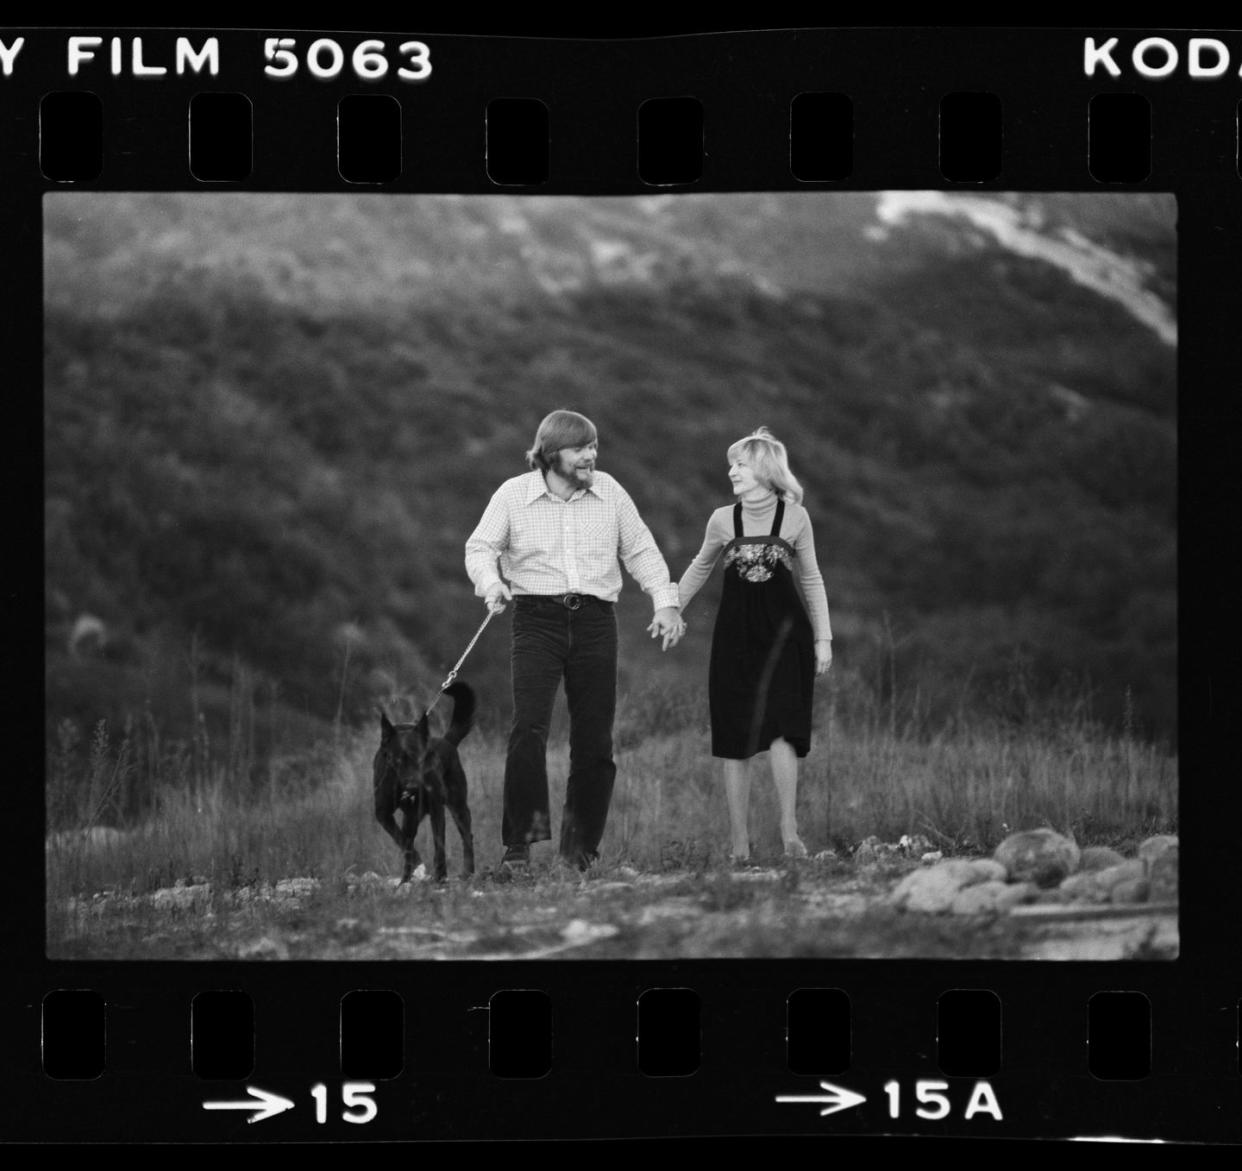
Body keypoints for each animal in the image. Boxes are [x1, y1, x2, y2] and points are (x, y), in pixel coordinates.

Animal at [372, 680, 474, 884]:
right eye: (397, 760)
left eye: (420, 758)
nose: (413, 786)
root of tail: (446, 741)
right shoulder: (383, 813)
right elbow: (403, 841)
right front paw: (412, 870)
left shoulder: (436, 808)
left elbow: (439, 843)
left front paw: (440, 877)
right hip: (412, 817)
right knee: (407, 838)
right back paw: (406, 876)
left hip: (457, 806)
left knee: (467, 836)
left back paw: (468, 872)